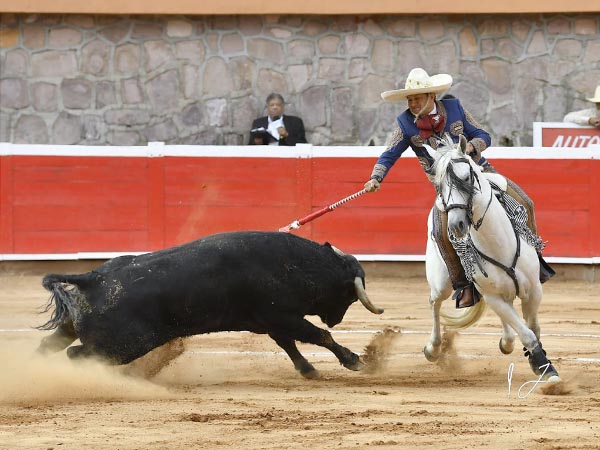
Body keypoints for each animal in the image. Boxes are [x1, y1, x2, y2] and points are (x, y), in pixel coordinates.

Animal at [37, 230, 384, 378]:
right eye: (349, 296)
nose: (336, 319)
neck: (296, 264)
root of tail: (93, 278)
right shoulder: (282, 315)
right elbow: (317, 336)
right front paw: (353, 360)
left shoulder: (272, 321)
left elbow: (289, 344)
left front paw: (308, 370)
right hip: (123, 345)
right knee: (77, 355)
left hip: (74, 329)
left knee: (48, 346)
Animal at [424, 135, 560, 382]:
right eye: (440, 185)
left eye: (466, 177)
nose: (456, 225)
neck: (498, 243)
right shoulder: (493, 296)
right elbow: (527, 333)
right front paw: (543, 365)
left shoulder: (534, 290)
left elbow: (533, 327)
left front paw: (542, 365)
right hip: (441, 282)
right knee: (435, 303)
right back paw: (433, 348)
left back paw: (507, 341)